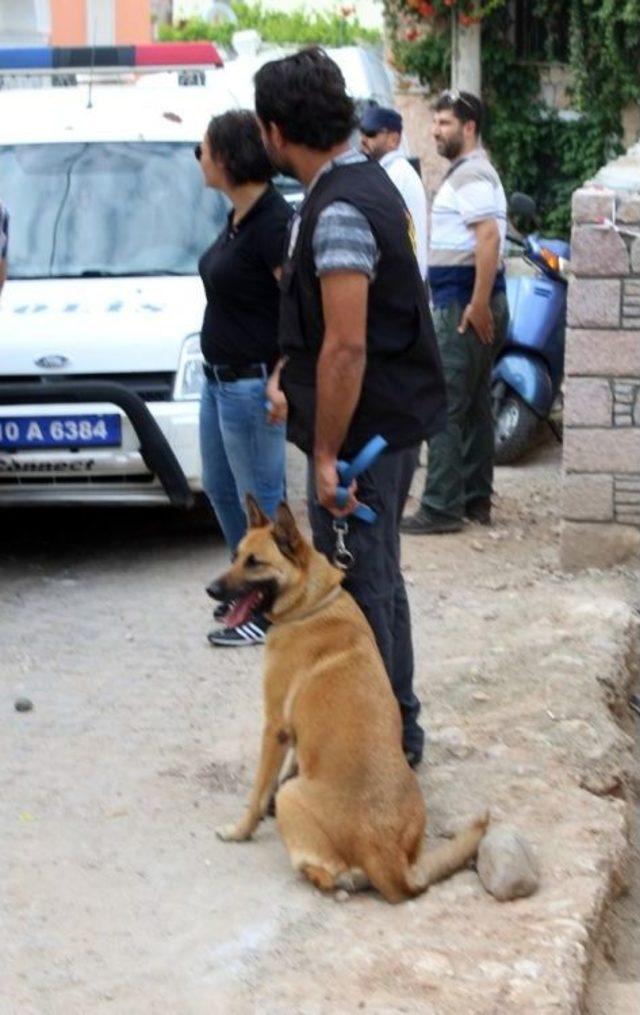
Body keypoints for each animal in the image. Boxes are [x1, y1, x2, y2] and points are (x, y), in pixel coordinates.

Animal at [212, 495, 488, 901]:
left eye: (255, 563)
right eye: (235, 556)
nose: (211, 591)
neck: (312, 604)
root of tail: (386, 855)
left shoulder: (274, 728)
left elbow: (259, 791)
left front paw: (240, 829)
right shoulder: (293, 732)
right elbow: (292, 761)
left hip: (295, 798)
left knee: (331, 874)